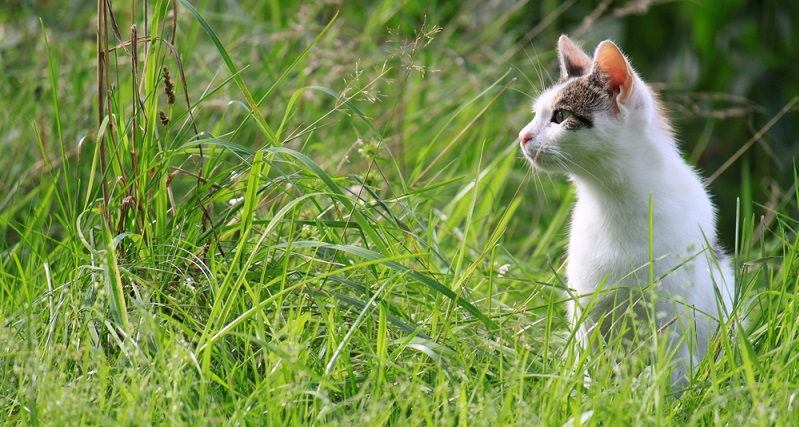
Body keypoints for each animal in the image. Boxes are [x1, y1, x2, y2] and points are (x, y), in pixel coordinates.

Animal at [520, 36, 736, 392]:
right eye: (536, 114)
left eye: (560, 115)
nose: (522, 136)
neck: (613, 199)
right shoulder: (588, 305)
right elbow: (589, 357)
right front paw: (588, 390)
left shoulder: (673, 315)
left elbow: (670, 369)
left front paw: (660, 396)